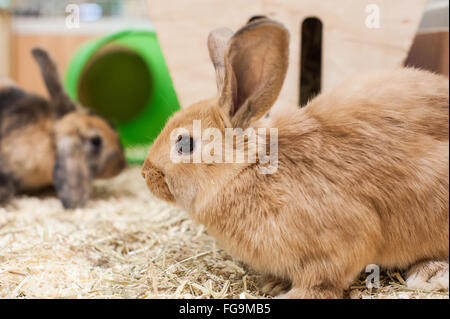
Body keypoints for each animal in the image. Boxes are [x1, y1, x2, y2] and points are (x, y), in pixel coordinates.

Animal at [142, 16, 450, 298]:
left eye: (184, 143)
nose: (146, 174)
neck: (247, 168)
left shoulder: (336, 245)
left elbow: (321, 280)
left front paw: (293, 294)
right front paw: (273, 284)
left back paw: (429, 272)